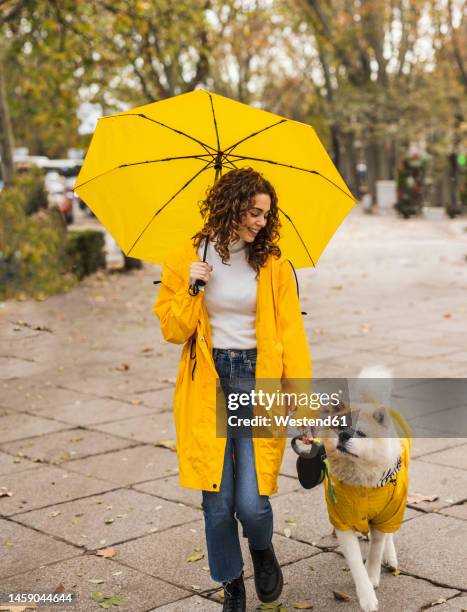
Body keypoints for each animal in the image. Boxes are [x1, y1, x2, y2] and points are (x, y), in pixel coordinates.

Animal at [324, 368, 412, 612]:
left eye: (361, 433)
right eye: (339, 427)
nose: (344, 435)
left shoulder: (384, 513)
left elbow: (375, 549)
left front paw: (373, 576)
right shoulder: (342, 522)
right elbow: (355, 562)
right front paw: (365, 594)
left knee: (388, 534)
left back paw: (389, 557)